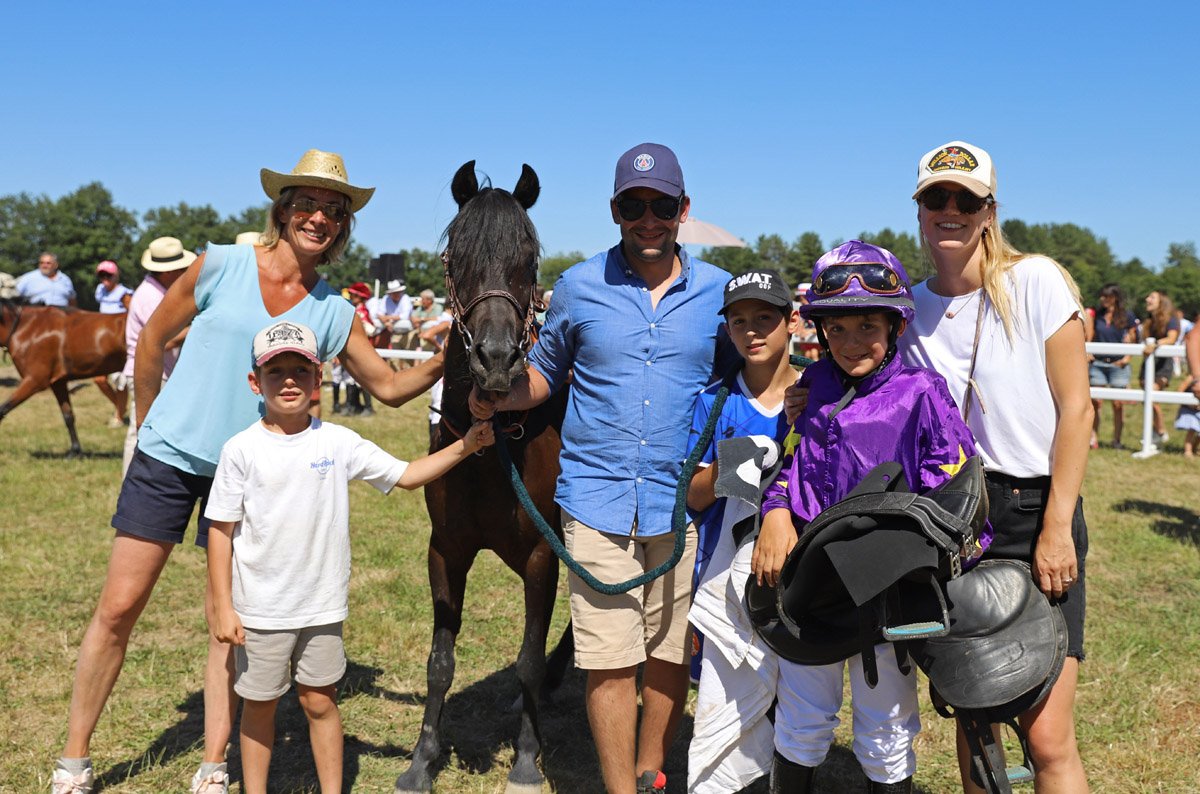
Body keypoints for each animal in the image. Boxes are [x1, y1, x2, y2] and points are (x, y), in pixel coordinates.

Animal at [0, 298, 127, 458]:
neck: (26, 329)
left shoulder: (34, 380)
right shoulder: (58, 382)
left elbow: (3, 409)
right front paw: (75, 451)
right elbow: (68, 416)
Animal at [396, 158, 573, 791]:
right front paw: (423, 758)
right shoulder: (445, 550)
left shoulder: (543, 556)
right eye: (457, 256)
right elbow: (439, 661)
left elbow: (526, 657)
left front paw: (525, 758)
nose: (496, 361)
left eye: (529, 258)